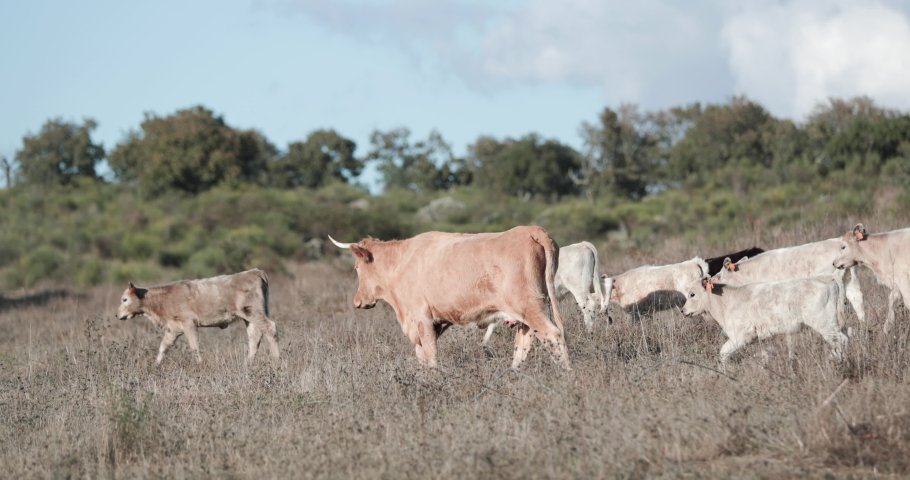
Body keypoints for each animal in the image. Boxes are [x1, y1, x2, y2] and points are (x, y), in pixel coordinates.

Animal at [328, 227, 568, 370]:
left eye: (356, 267)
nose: (358, 302)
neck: (401, 262)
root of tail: (530, 230)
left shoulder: (421, 318)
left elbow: (430, 354)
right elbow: (422, 356)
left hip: (528, 305)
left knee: (552, 334)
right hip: (528, 310)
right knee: (524, 342)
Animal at [680, 276, 852, 366]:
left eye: (692, 294)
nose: (683, 310)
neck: (724, 302)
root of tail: (827, 279)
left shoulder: (741, 336)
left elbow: (723, 352)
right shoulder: (760, 338)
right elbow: (764, 356)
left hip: (824, 324)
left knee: (841, 341)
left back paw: (837, 361)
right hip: (835, 323)